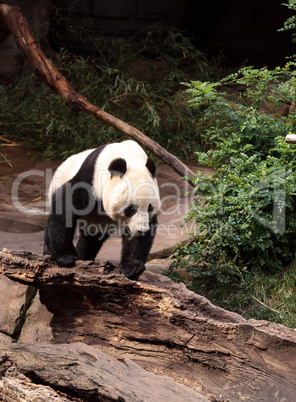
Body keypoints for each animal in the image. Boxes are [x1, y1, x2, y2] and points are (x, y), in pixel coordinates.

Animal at [44, 141, 161, 280]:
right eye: (131, 208)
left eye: (149, 208)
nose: (140, 230)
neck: (130, 157)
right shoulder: (89, 179)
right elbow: (64, 209)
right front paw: (66, 257)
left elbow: (141, 237)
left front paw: (132, 267)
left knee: (91, 239)